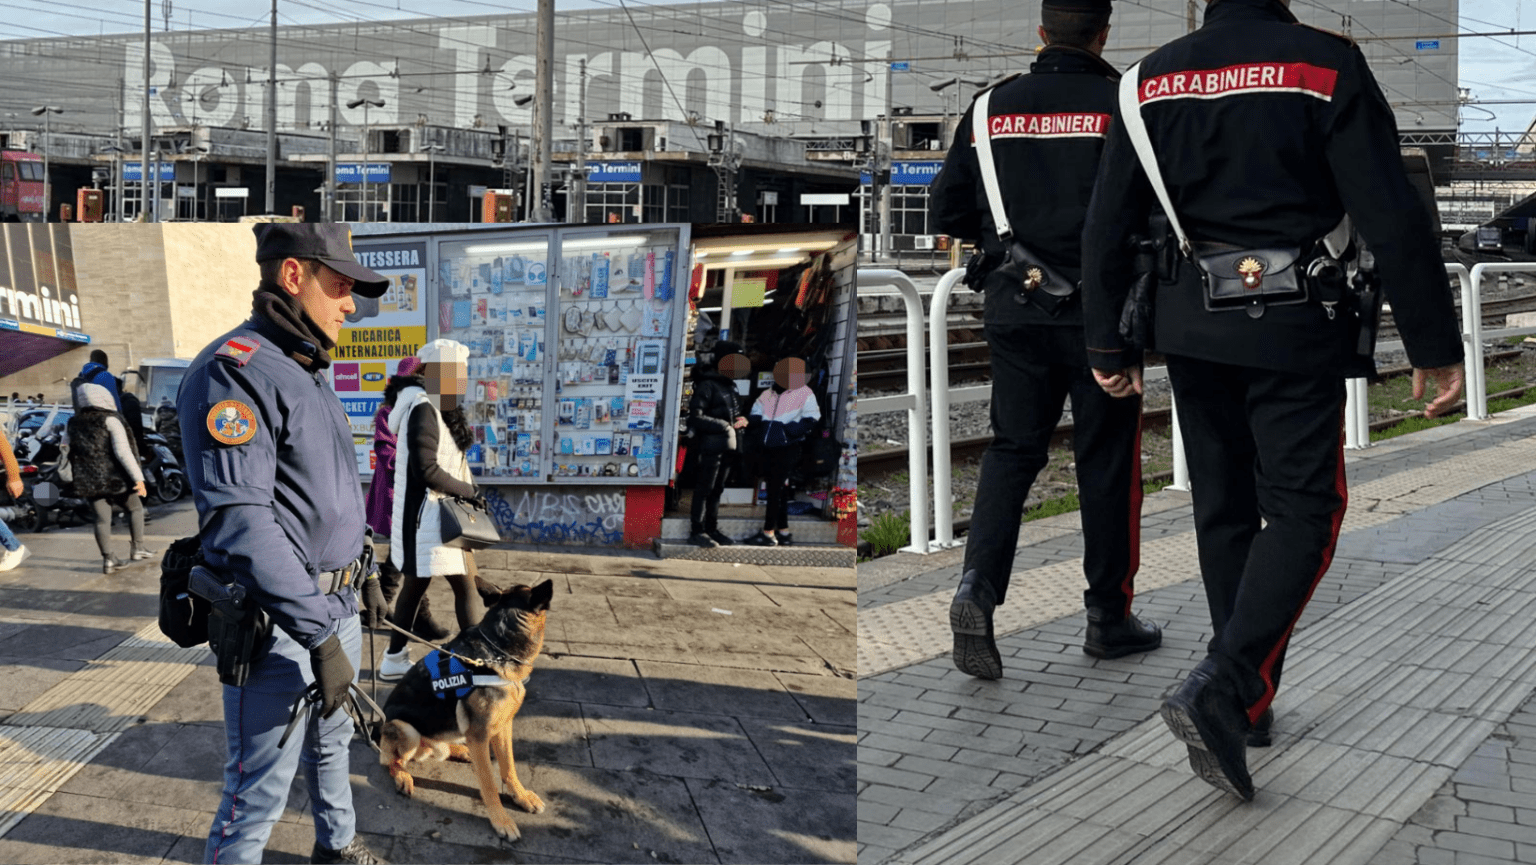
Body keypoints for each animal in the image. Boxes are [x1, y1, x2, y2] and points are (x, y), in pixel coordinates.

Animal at [377, 577, 552, 841]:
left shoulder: (503, 727)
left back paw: (459, 750)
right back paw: (403, 776)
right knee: (391, 762)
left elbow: (509, 767)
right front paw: (501, 821)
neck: (497, 652)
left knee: (443, 747)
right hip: (405, 729)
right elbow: (489, 783)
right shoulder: (480, 735)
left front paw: (520, 796)